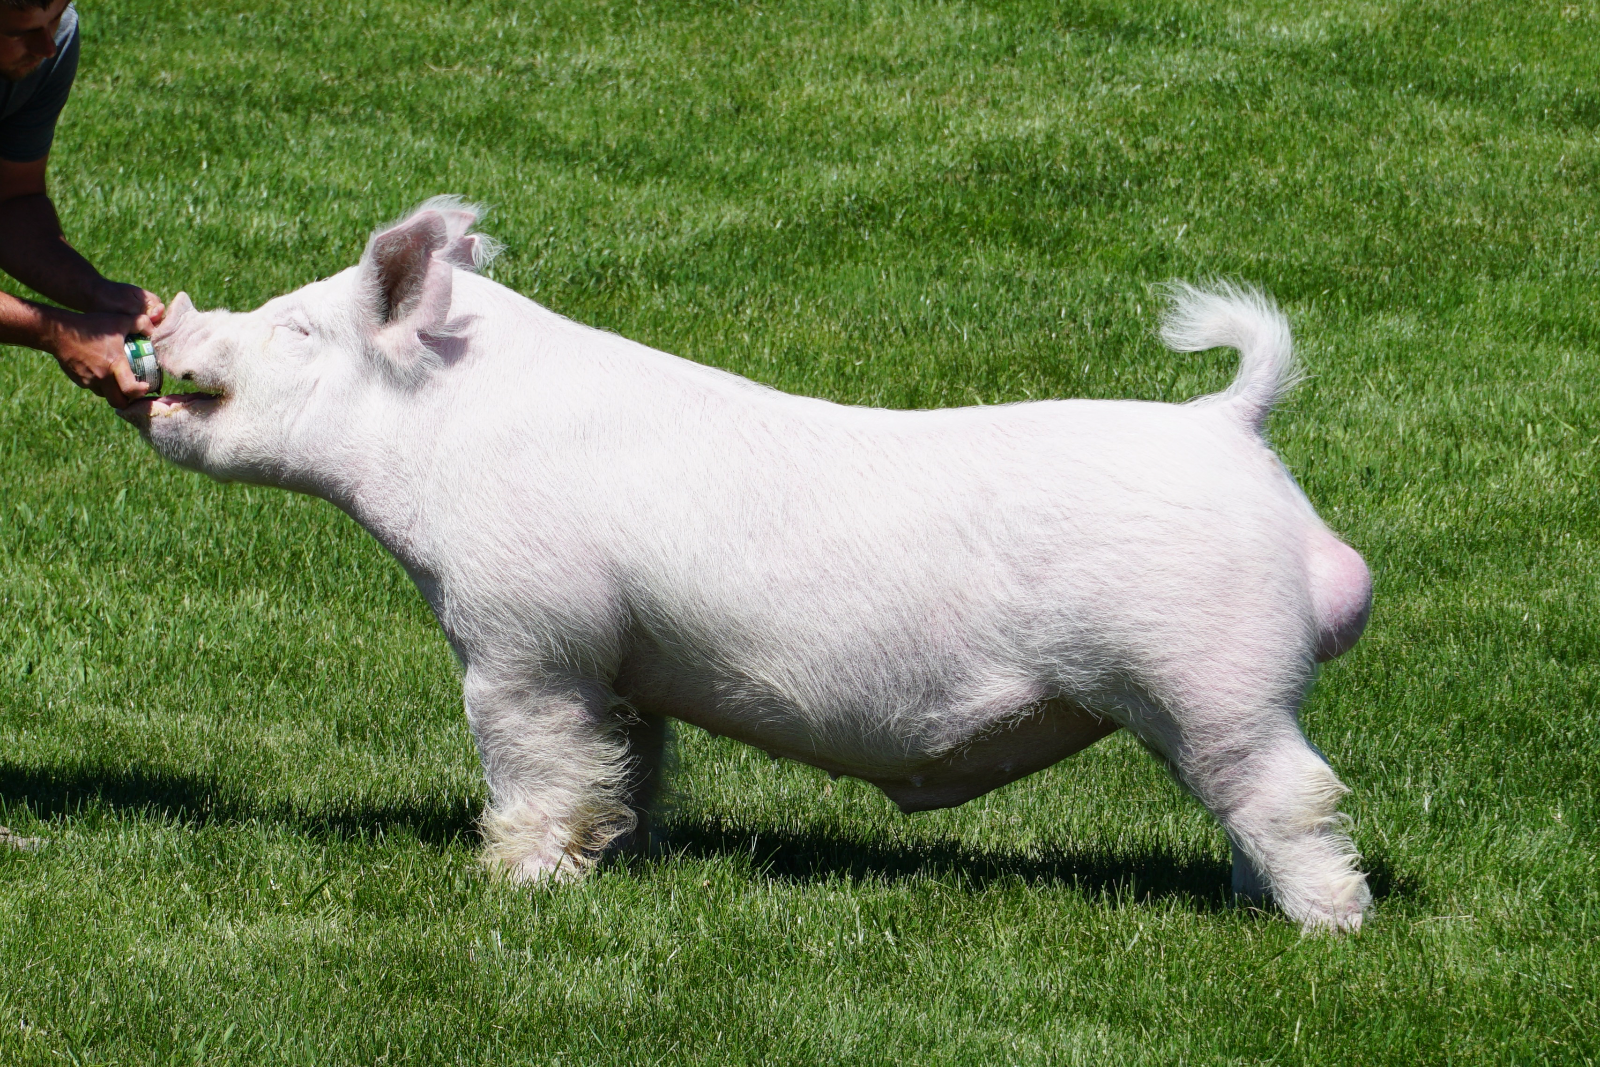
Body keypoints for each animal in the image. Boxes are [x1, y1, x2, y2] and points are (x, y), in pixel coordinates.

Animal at [120, 198, 1374, 931]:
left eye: (297, 328)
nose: (168, 313)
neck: (442, 441)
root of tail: (1227, 420)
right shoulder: (622, 656)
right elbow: (628, 758)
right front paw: (622, 850)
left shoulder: (525, 632)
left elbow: (531, 757)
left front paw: (511, 884)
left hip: (1211, 675)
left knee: (1296, 791)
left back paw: (1326, 926)